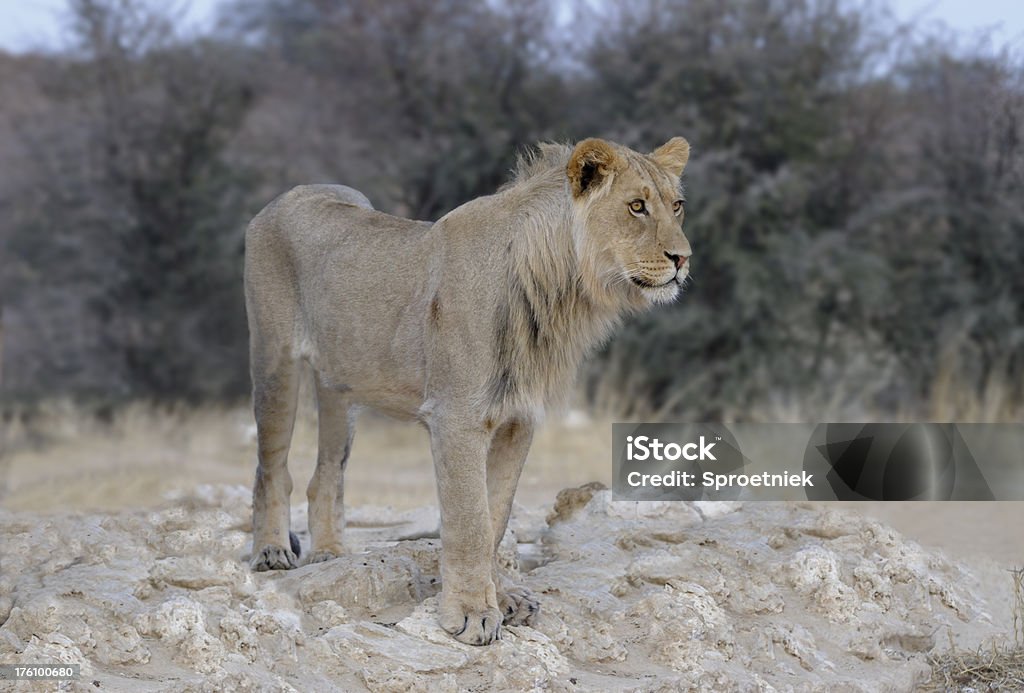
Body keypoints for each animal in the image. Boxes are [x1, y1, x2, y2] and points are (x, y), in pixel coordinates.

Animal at [243, 135, 692, 642]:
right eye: (636, 206)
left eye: (676, 206)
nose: (683, 259)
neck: (558, 292)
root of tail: (291, 193)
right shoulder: (455, 417)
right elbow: (470, 520)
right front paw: (472, 612)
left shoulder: (519, 418)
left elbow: (496, 515)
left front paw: (504, 597)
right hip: (274, 360)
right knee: (270, 466)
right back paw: (272, 551)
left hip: (340, 383)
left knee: (327, 472)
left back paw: (330, 552)